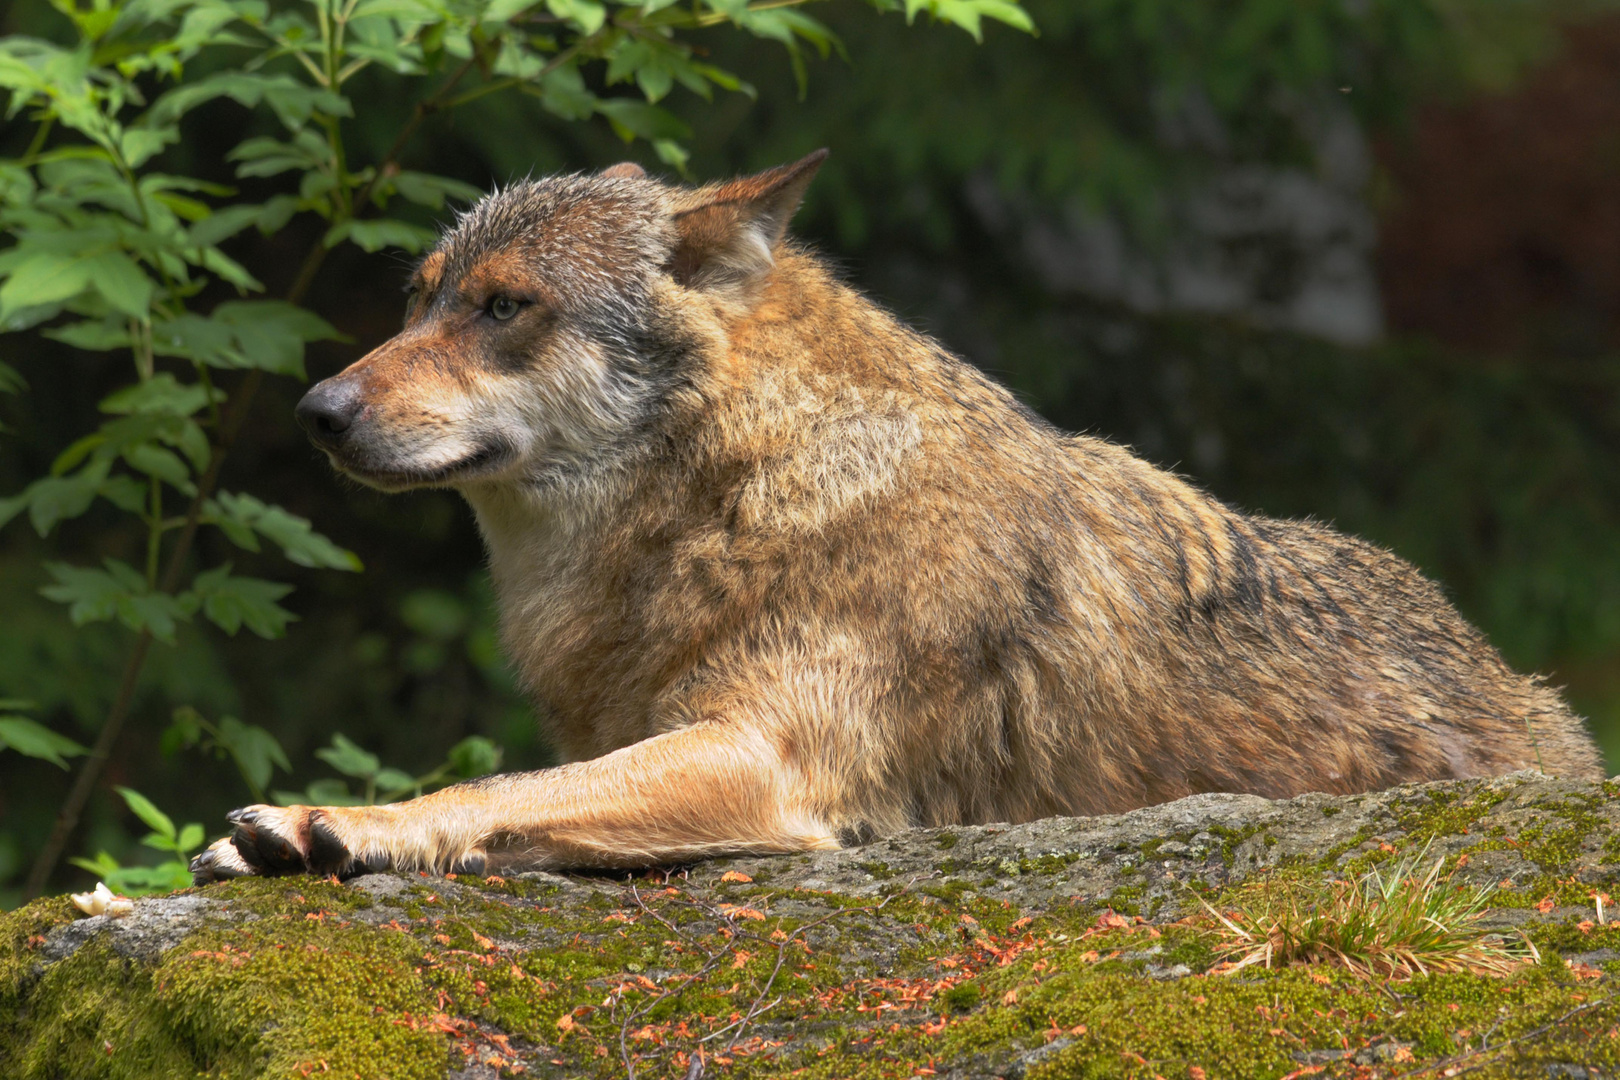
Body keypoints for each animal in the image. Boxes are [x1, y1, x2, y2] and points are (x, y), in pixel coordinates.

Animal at [189, 152, 1607, 887]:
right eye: (419, 299)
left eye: (502, 308)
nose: (314, 410)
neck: (735, 499)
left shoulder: (758, 758)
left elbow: (496, 786)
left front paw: (333, 827)